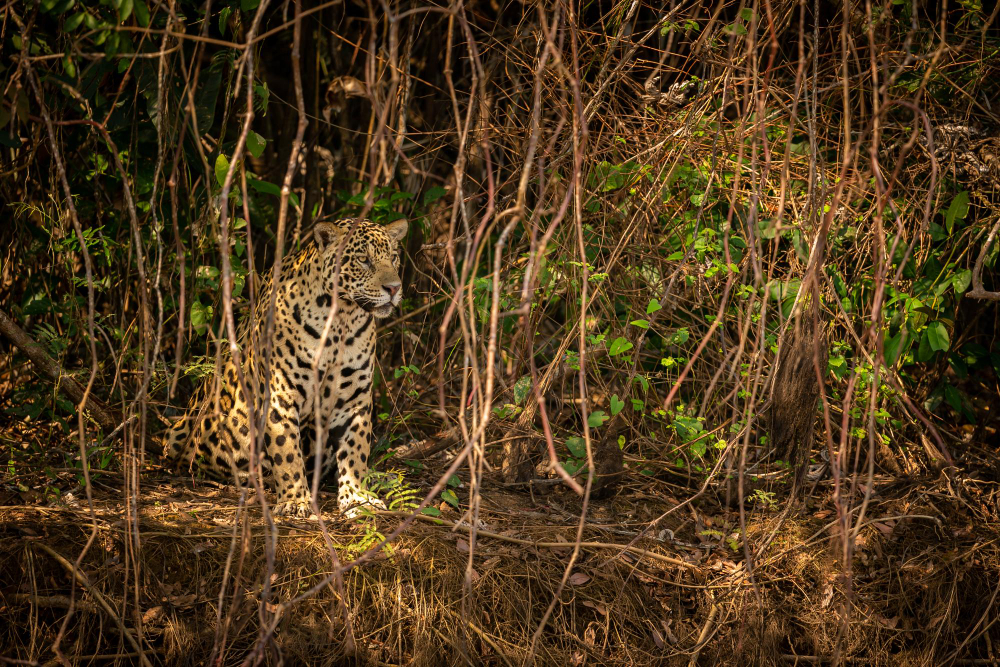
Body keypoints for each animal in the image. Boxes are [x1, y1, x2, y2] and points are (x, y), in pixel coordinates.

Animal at [164, 218, 407, 517]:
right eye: (363, 260)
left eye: (393, 257)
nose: (394, 288)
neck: (341, 320)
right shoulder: (280, 394)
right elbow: (287, 451)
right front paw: (295, 500)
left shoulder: (354, 400)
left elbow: (356, 449)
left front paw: (357, 497)